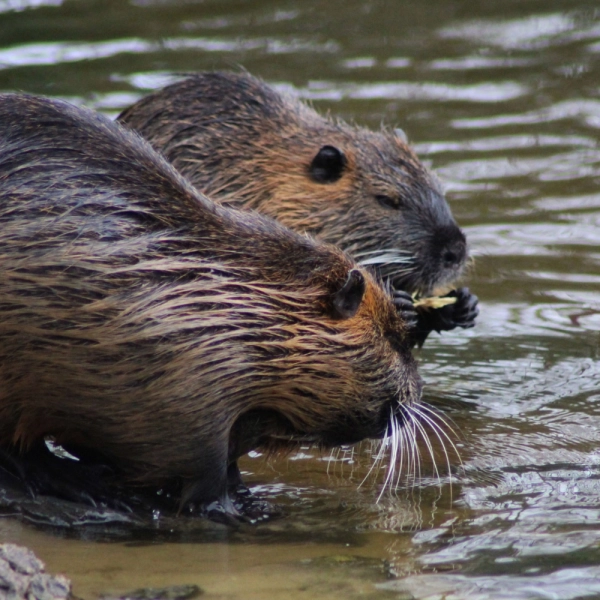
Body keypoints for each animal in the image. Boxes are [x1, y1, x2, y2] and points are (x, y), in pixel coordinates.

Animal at [119, 70, 480, 344]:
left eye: (437, 187)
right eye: (387, 200)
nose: (455, 251)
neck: (252, 174)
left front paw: (461, 305)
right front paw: (402, 303)